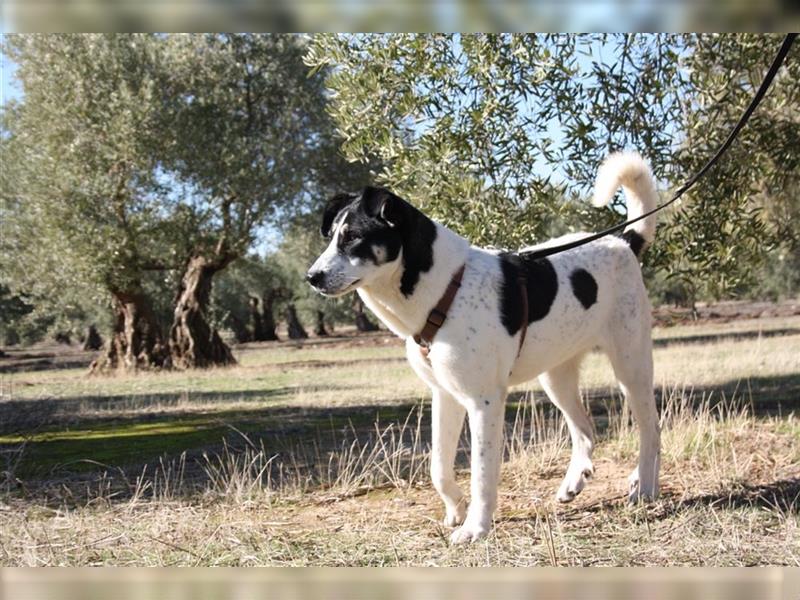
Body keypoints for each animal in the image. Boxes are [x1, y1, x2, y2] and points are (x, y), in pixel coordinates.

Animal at [304, 151, 660, 544]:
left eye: (353, 237)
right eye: (331, 237)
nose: (312, 277)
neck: (445, 289)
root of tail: (623, 241)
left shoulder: (483, 400)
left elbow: (482, 471)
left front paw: (476, 527)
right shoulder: (444, 395)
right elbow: (438, 467)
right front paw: (456, 508)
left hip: (630, 366)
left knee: (651, 430)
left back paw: (644, 486)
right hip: (556, 376)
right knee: (585, 430)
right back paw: (574, 482)